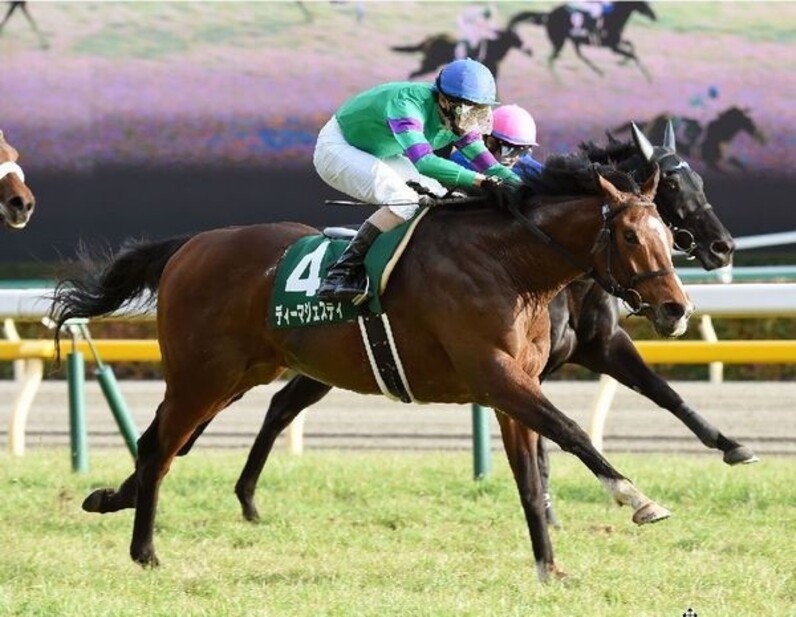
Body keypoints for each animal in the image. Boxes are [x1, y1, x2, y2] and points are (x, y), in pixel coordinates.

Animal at [51, 158, 693, 579]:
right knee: (163, 448)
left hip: (235, 375)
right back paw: (145, 552)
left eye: (668, 234)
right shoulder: (495, 376)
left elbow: (531, 482)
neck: (510, 264)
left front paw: (548, 568)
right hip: (203, 374)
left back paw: (110, 500)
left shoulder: (514, 386)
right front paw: (639, 499)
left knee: (159, 440)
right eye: (630, 234)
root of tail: (189, 245)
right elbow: (573, 433)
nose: (676, 309)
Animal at [509, 2, 656, 81]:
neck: (613, 17)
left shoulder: (616, 42)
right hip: (559, 42)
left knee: (579, 56)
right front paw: (648, 77)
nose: (654, 16)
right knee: (551, 59)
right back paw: (559, 81)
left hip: (573, 41)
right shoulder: (612, 46)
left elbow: (631, 46)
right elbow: (633, 54)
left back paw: (599, 71)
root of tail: (548, 15)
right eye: (644, 2)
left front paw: (622, 62)